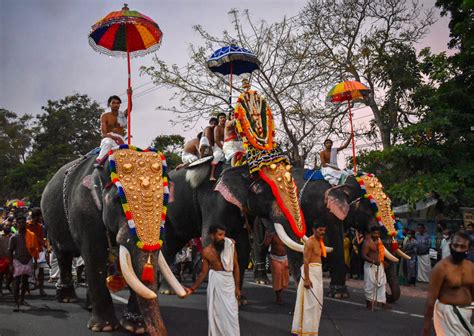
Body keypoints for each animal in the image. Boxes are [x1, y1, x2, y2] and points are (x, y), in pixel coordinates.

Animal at [41, 146, 185, 334]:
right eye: (118, 200)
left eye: (165, 201)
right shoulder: (85, 211)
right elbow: (94, 257)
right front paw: (104, 327)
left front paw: (135, 327)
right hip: (51, 225)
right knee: (63, 256)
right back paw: (67, 299)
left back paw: (88, 306)